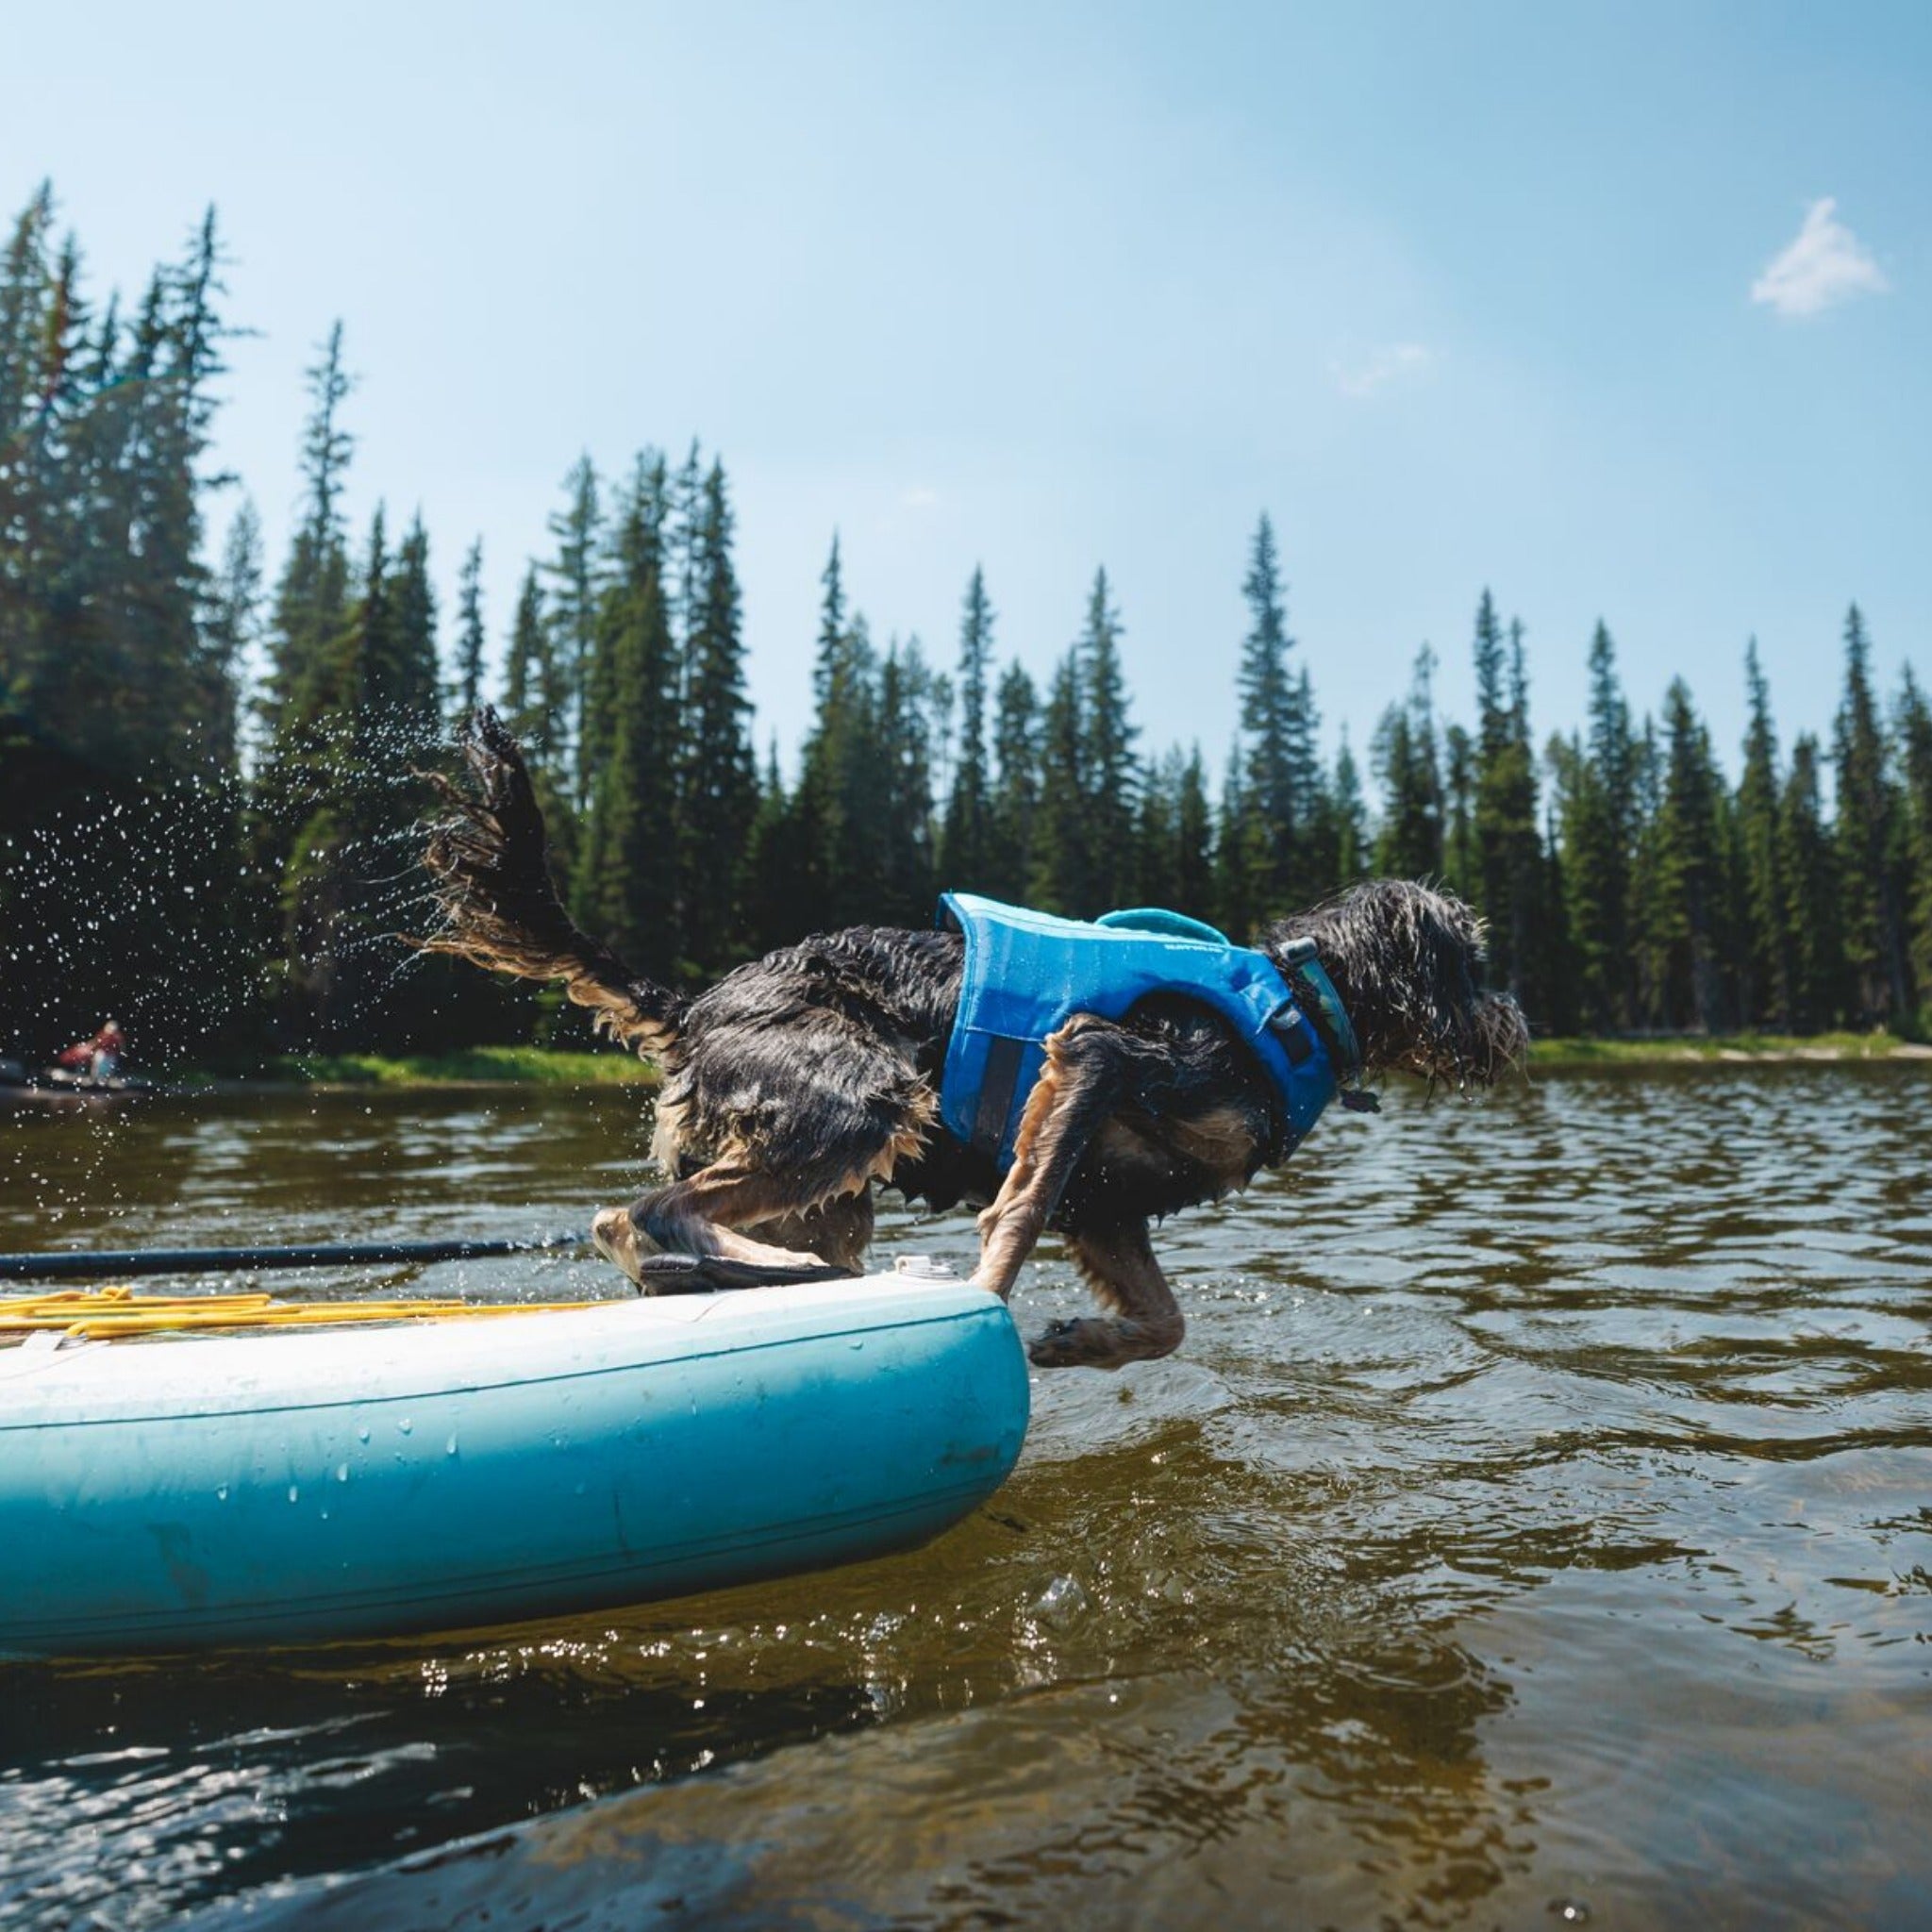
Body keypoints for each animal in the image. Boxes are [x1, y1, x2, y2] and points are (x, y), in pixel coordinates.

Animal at [419, 714, 1522, 1375]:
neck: (1297, 1000)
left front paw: (1082, 1340)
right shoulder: (1099, 1056)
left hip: (831, 1179)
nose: (1516, 1020)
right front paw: (988, 1301)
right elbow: (1018, 1210)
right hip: (851, 1098)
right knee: (637, 1215)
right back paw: (745, 1267)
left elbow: (1165, 1320)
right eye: (1472, 961)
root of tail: (696, 1003)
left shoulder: (1106, 1204)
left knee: (682, 1231)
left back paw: (777, 1277)